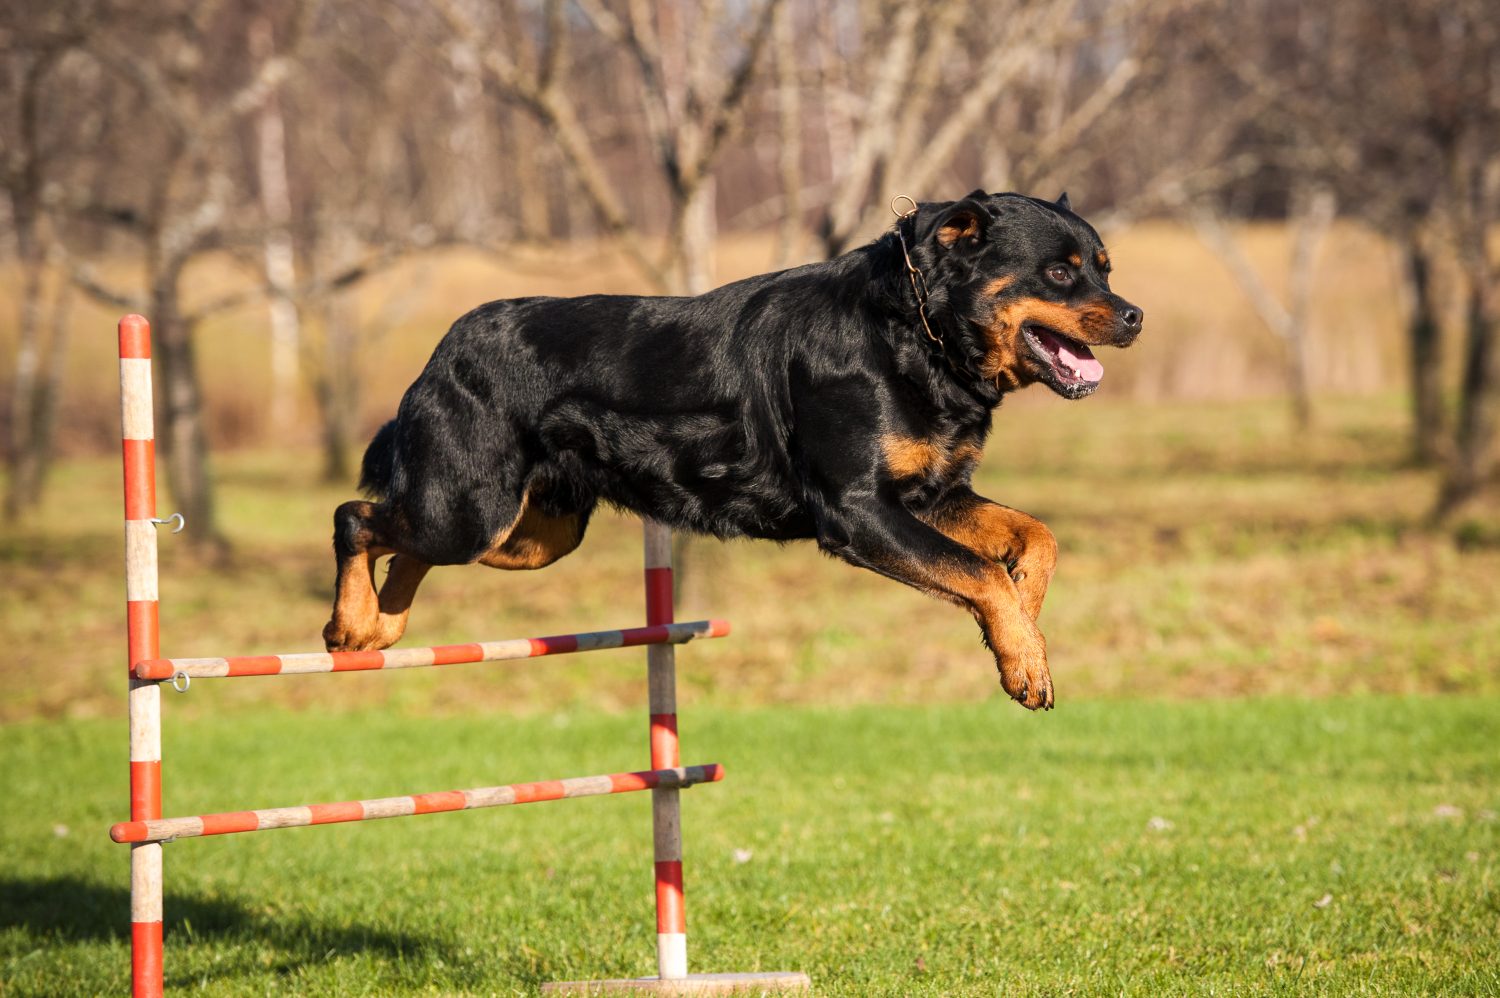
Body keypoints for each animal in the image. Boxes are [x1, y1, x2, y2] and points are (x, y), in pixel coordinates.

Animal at [325, 190, 1134, 708]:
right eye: (1059, 270)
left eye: (1104, 266)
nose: (1135, 316)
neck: (913, 333)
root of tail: (441, 350)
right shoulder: (860, 511)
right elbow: (979, 572)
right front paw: (1023, 659)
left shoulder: (932, 494)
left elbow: (1034, 540)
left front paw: (1023, 628)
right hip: (473, 508)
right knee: (356, 517)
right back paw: (352, 623)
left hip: (531, 534)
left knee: (403, 543)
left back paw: (380, 627)